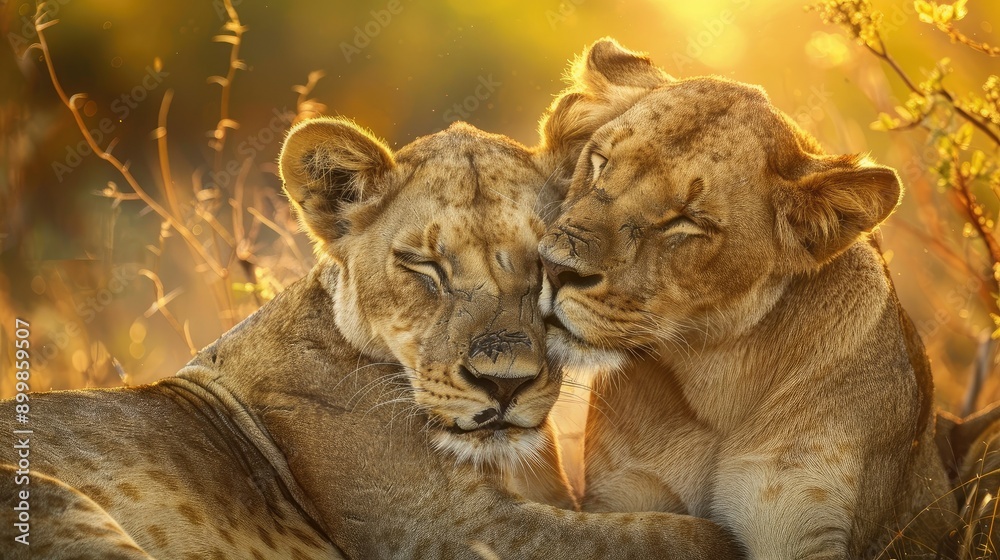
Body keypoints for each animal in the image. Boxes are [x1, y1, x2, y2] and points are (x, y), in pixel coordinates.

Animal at [536, 39, 959, 559]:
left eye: (687, 221)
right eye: (600, 162)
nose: (553, 267)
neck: (715, 384)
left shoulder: (800, 518)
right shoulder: (625, 493)